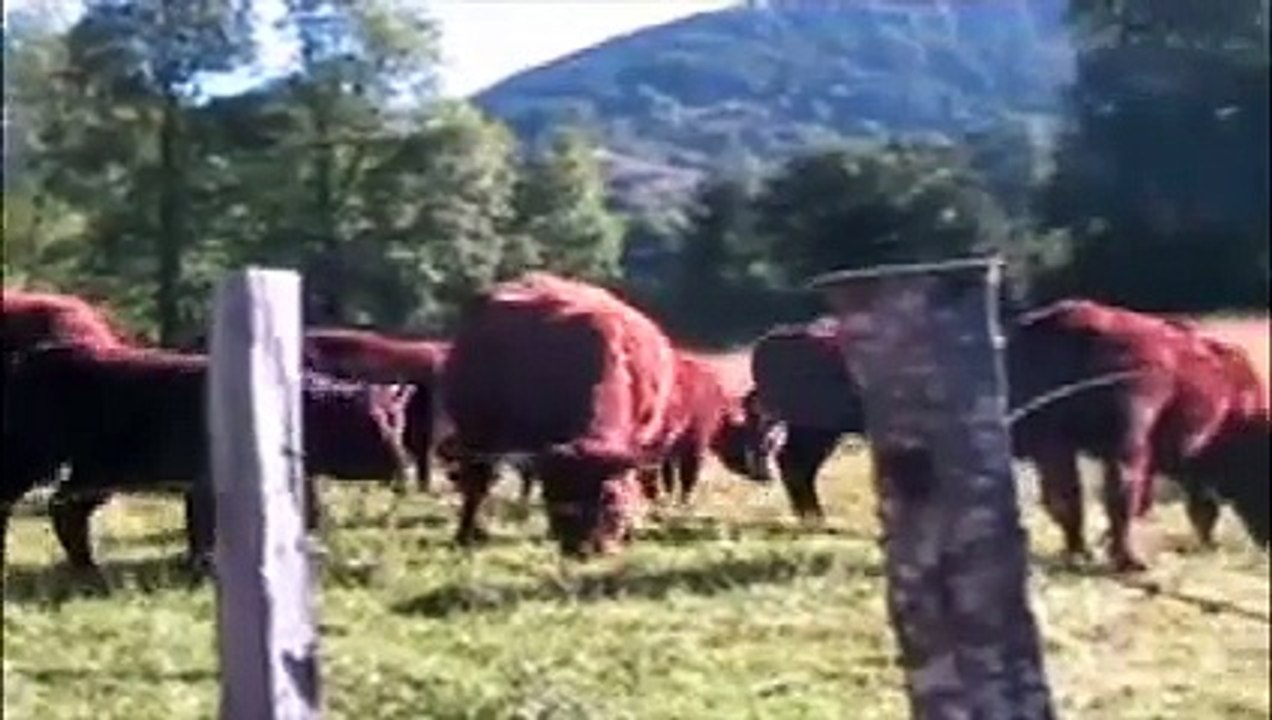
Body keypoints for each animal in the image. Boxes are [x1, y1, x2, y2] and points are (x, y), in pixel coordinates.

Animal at [1, 343, 414, 575]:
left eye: (398, 420)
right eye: (372, 424)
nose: (404, 467)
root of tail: (24, 360)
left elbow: (309, 513)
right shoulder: (205, 480)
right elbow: (203, 526)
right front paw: (205, 566)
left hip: (97, 472)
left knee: (65, 508)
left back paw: (87, 565)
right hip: (33, 458)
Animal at [441, 273, 681, 558]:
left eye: (609, 497)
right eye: (559, 495)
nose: (584, 548)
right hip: (476, 434)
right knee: (477, 483)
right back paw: (468, 533)